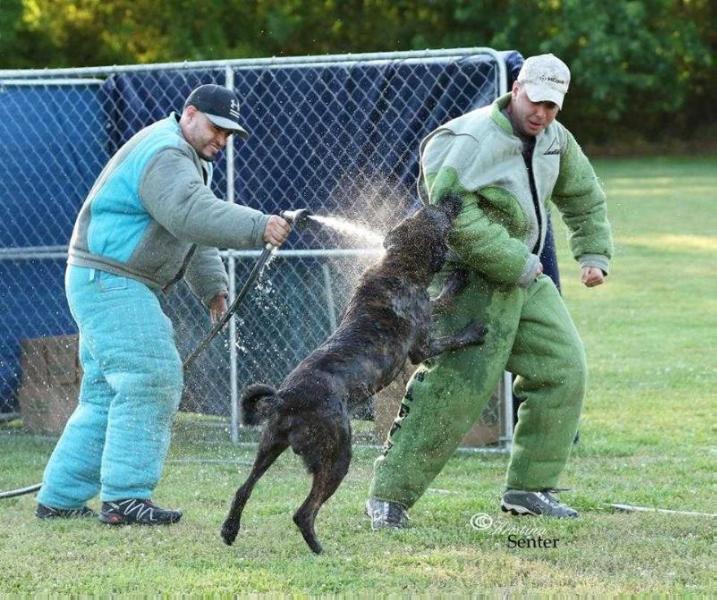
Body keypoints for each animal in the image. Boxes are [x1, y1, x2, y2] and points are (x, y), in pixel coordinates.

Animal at [221, 199, 484, 556]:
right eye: (440, 214)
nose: (451, 199)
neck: (398, 264)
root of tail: (285, 399)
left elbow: (440, 300)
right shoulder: (423, 345)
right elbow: (447, 319)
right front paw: (470, 318)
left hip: (269, 447)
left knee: (243, 489)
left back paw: (230, 530)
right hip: (337, 457)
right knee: (304, 512)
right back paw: (319, 551)